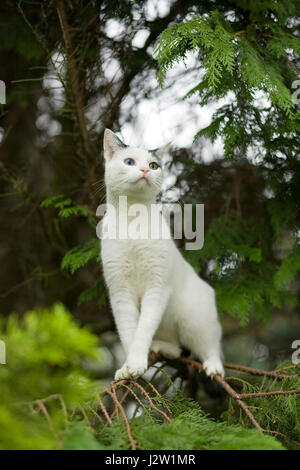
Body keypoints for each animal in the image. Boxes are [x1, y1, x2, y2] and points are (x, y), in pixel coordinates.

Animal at [100, 129, 223, 382]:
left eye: (154, 165)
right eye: (129, 162)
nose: (145, 170)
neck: (132, 218)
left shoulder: (157, 287)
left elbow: (143, 330)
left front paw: (136, 363)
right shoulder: (120, 292)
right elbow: (130, 334)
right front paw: (128, 367)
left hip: (195, 319)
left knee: (211, 346)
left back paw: (214, 366)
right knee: (176, 348)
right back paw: (161, 347)